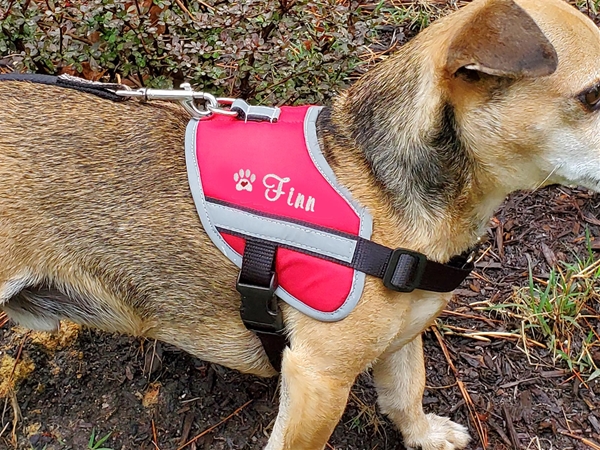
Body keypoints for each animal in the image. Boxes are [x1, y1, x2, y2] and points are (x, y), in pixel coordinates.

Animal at [1, 0, 600, 448]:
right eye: (593, 95)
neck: (382, 182)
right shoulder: (318, 377)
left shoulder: (402, 338)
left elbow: (406, 392)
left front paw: (423, 434)